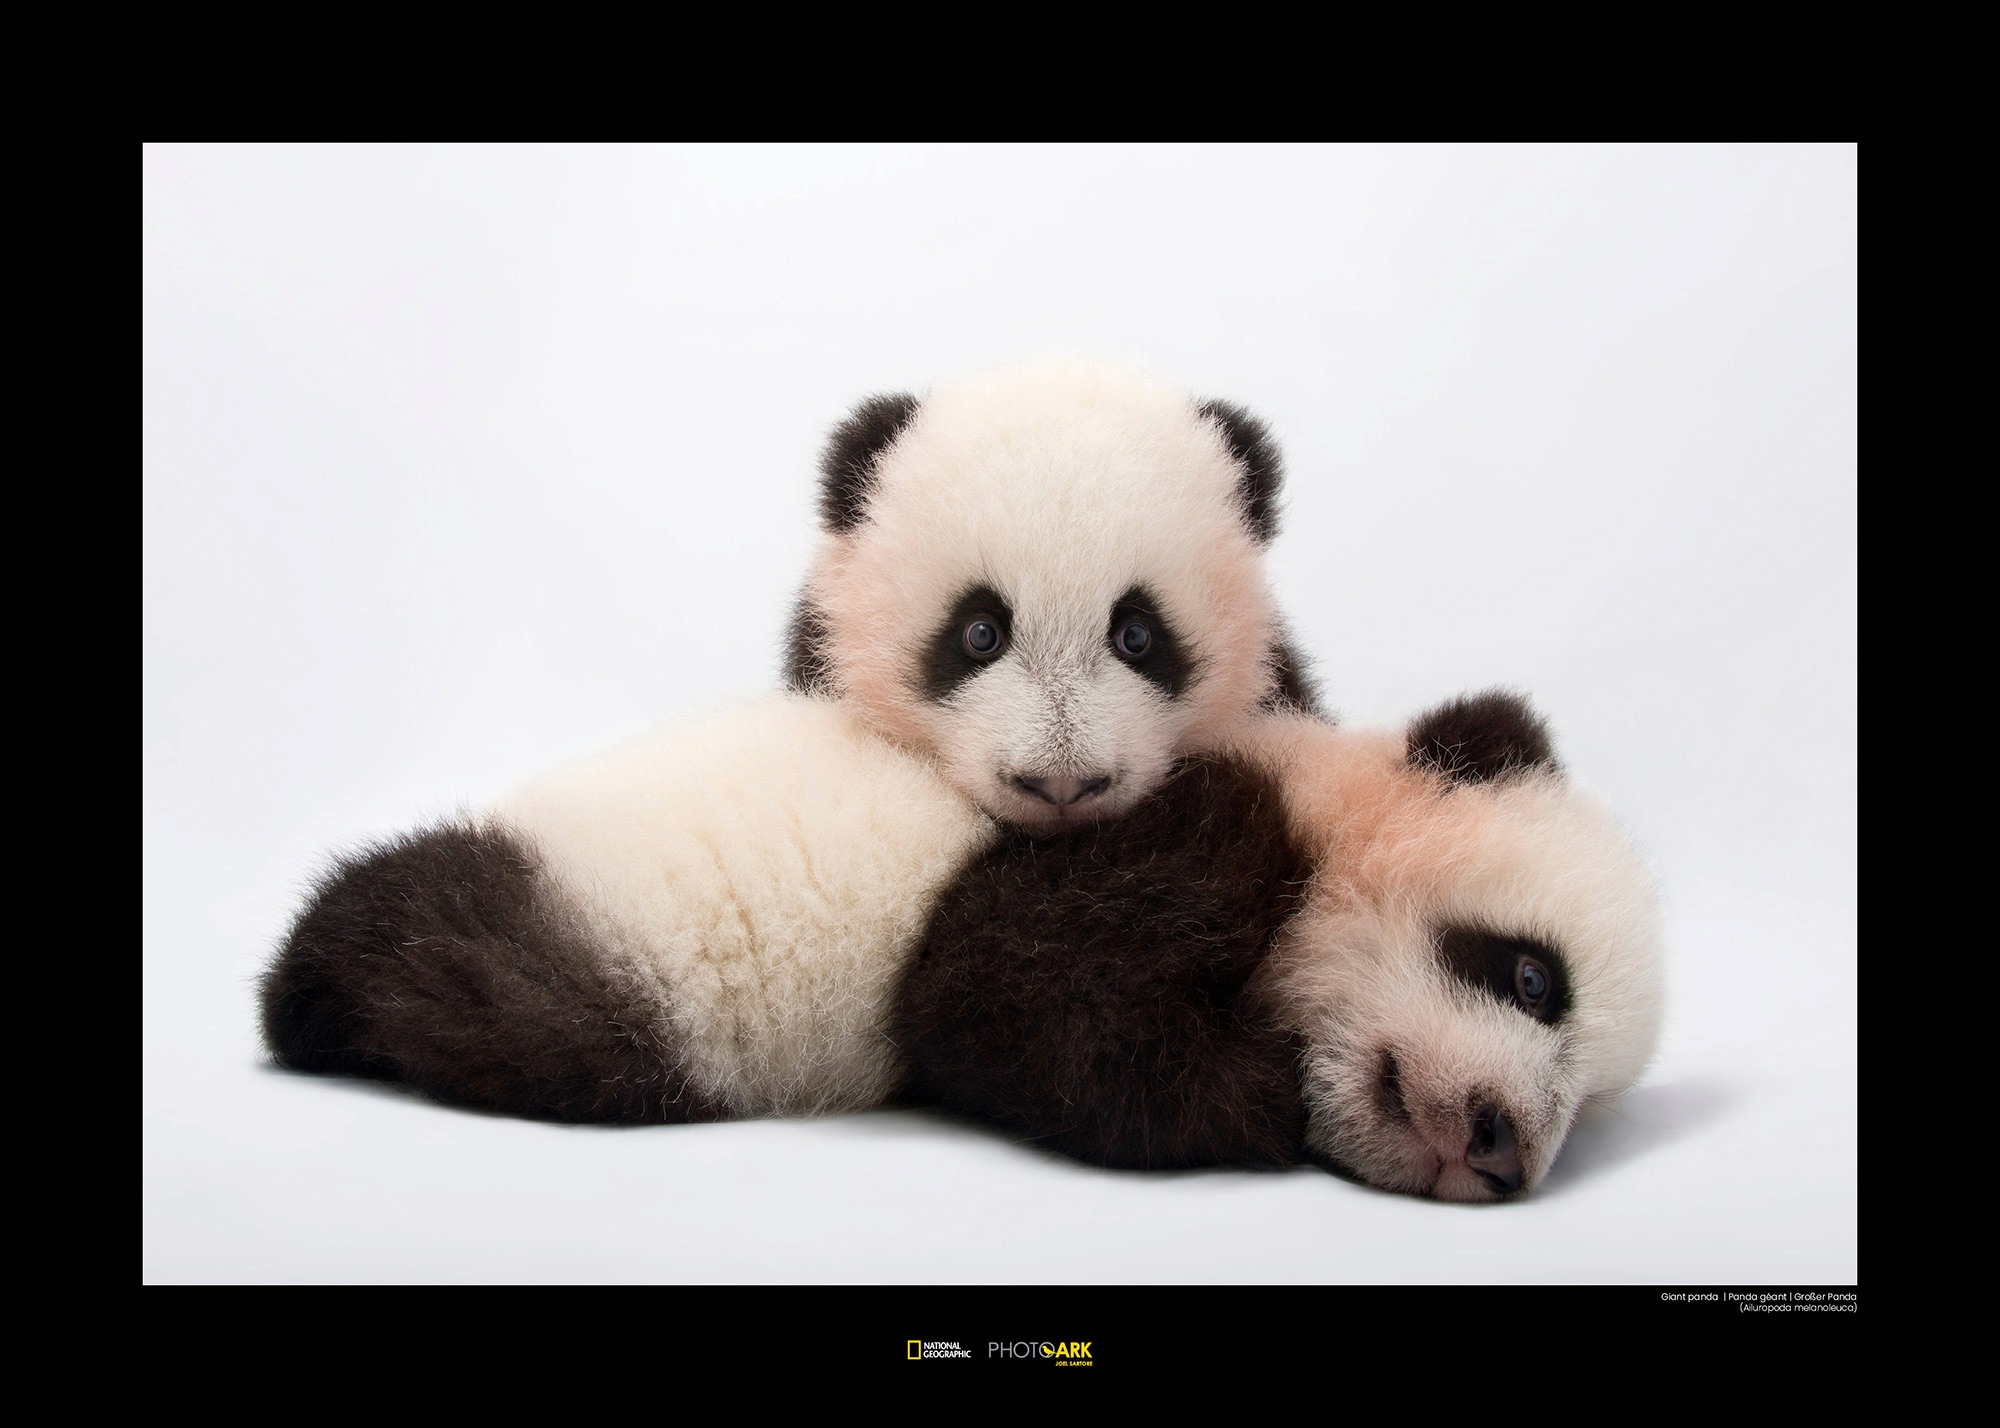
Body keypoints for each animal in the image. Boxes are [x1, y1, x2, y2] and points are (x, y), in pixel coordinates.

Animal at [892, 690, 1666, 1200]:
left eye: (1585, 1108)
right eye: (1534, 979)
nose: (1502, 1151)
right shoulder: (1203, 825)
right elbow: (1001, 986)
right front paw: (1271, 1090)